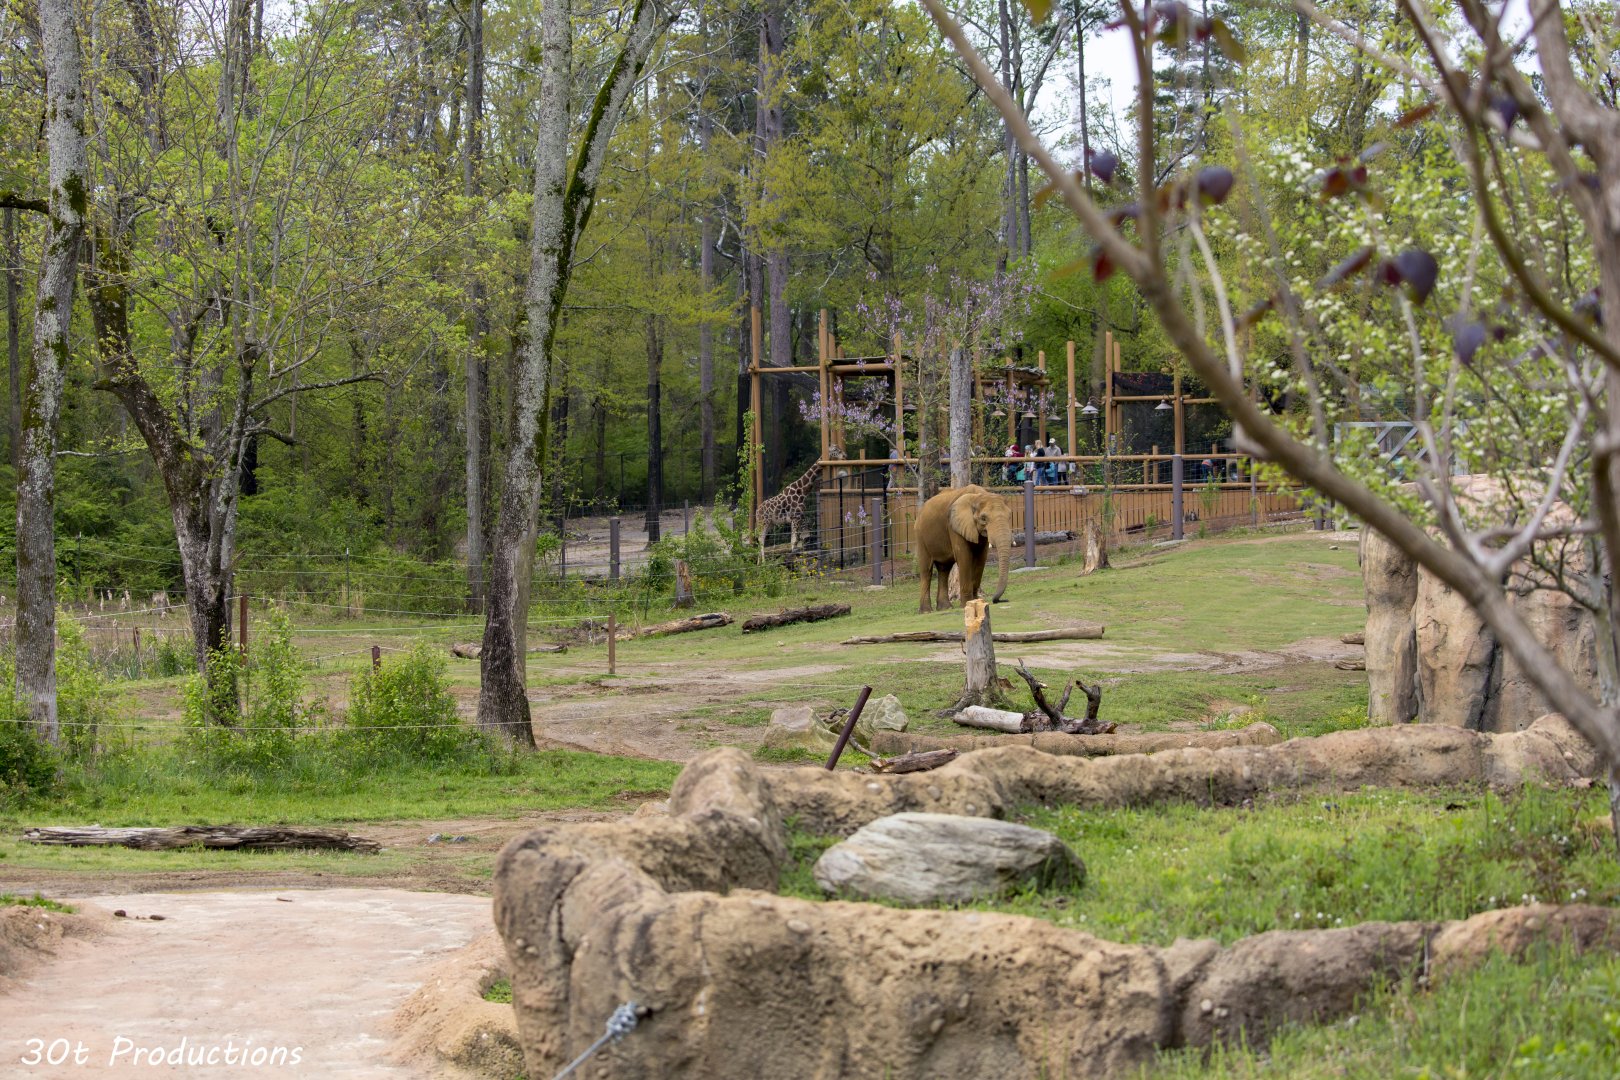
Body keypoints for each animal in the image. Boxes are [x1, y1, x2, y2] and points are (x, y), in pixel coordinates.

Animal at [914, 485, 1013, 613]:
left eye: (1010, 516)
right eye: (983, 518)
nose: (999, 600)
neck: (978, 496)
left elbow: (981, 559)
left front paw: (976, 602)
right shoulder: (954, 526)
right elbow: (964, 557)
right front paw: (966, 604)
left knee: (944, 570)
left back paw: (945, 608)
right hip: (920, 537)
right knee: (926, 570)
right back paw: (926, 611)